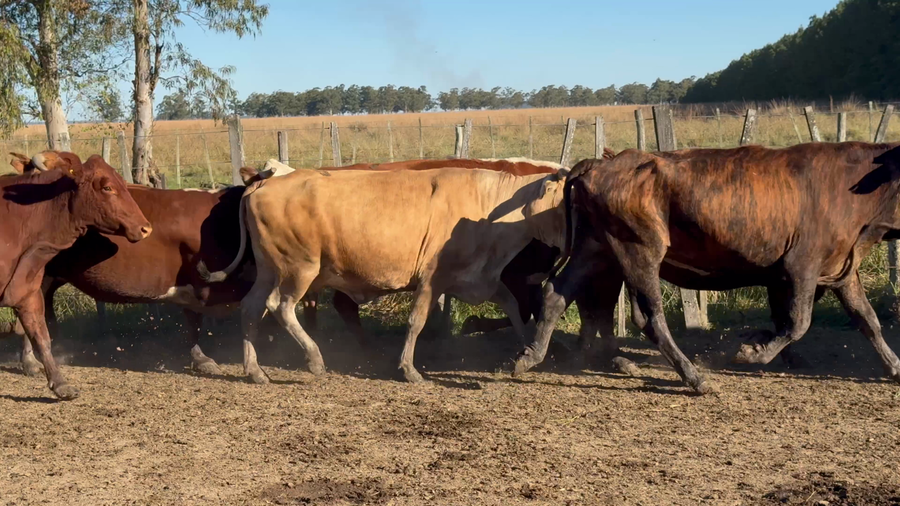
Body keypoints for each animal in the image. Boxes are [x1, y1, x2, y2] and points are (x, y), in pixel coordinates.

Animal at [199, 165, 570, 384]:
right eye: (565, 205)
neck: (489, 207)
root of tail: (264, 183)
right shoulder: (432, 279)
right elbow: (416, 321)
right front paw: (409, 369)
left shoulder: (479, 279)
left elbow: (514, 308)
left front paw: (526, 352)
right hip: (300, 268)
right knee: (281, 307)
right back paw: (314, 359)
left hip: (268, 268)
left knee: (251, 308)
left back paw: (254, 370)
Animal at [514, 142, 900, 394]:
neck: (850, 187)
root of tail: (600, 163)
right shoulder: (801, 266)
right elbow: (797, 322)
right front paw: (752, 352)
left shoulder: (841, 269)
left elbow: (867, 319)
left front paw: (894, 367)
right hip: (639, 249)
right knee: (648, 317)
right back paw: (694, 377)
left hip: (596, 250)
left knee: (557, 296)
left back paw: (530, 355)